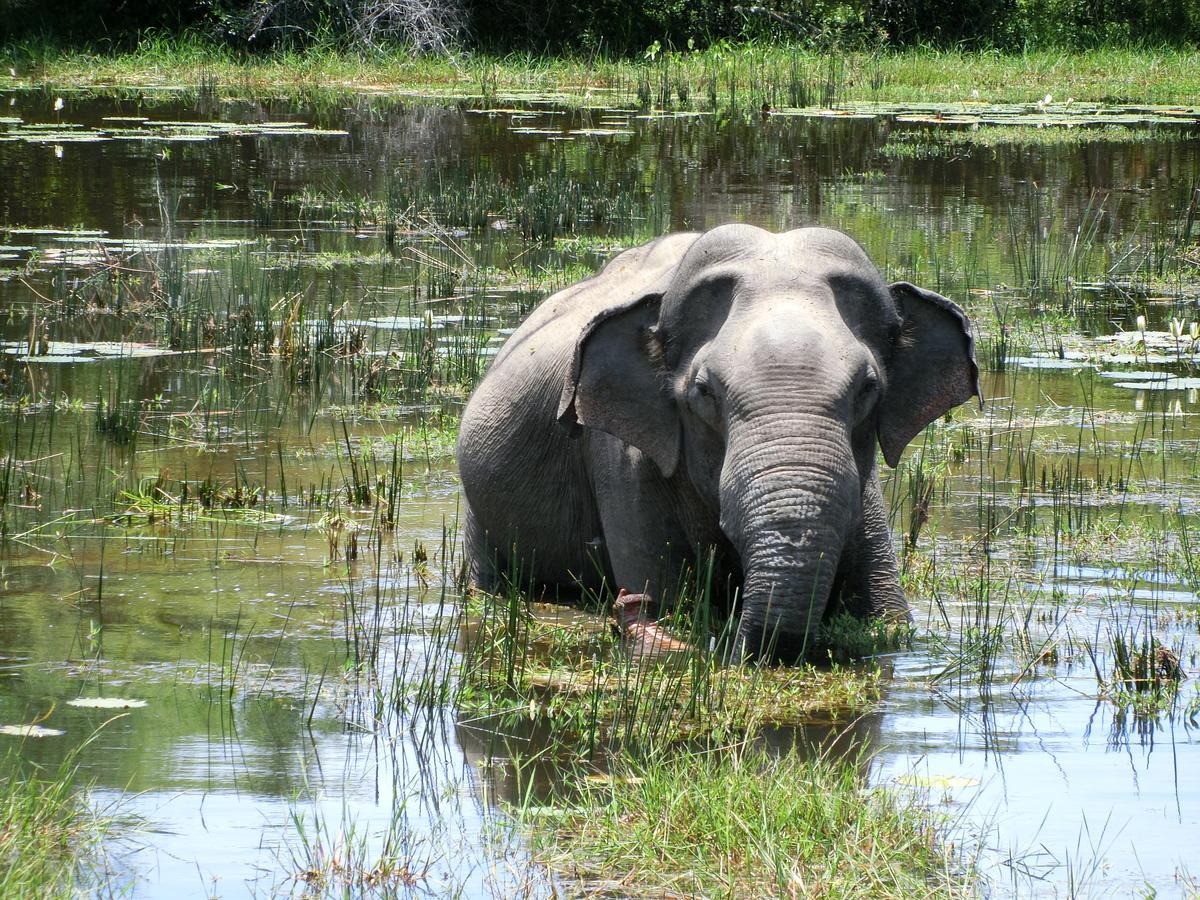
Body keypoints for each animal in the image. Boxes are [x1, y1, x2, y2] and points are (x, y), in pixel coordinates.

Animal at [453, 225, 979, 662]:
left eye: (868, 388)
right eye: (705, 392)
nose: (627, 604)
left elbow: (891, 625)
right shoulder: (621, 458)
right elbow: (667, 600)